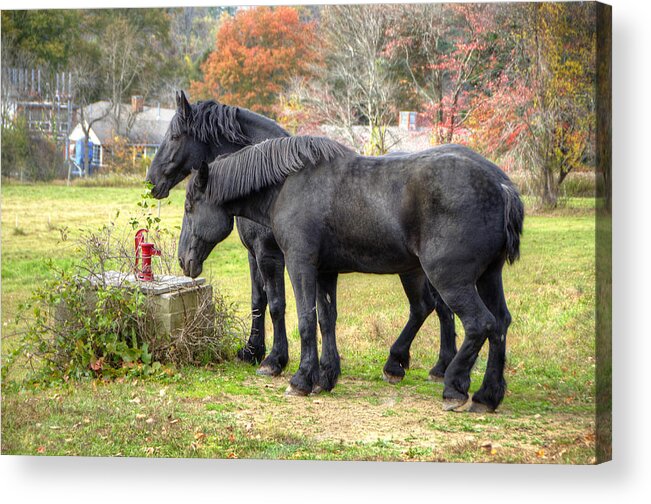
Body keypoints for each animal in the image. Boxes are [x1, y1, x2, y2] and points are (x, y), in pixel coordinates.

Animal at [146, 91, 458, 382]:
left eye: (174, 136)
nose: (151, 182)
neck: (274, 185)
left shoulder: (271, 255)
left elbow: (277, 305)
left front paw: (274, 359)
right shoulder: (255, 254)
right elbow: (259, 301)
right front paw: (253, 350)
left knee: (428, 307)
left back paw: (405, 363)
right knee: (441, 308)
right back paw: (440, 366)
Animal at [180, 136, 524, 412]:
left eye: (188, 206)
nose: (184, 259)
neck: (288, 186)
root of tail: (501, 186)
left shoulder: (299, 263)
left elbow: (305, 320)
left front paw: (301, 378)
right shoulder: (325, 271)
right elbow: (326, 320)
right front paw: (326, 376)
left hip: (450, 280)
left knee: (480, 324)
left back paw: (454, 386)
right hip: (487, 277)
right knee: (499, 324)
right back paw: (487, 395)